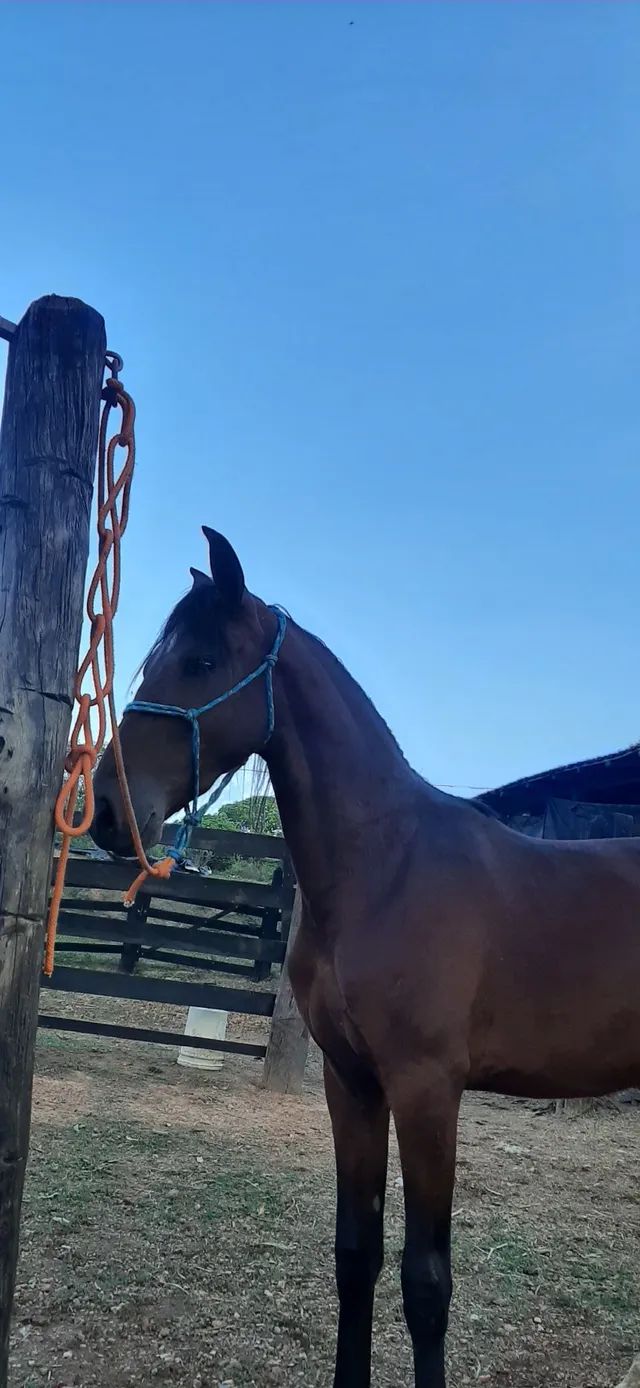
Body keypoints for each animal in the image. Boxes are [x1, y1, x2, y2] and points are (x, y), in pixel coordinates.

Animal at [90, 527, 638, 1388]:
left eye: (201, 661)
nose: (109, 812)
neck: (387, 867)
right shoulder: (352, 1084)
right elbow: (357, 1256)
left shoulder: (427, 1091)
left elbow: (426, 1280)